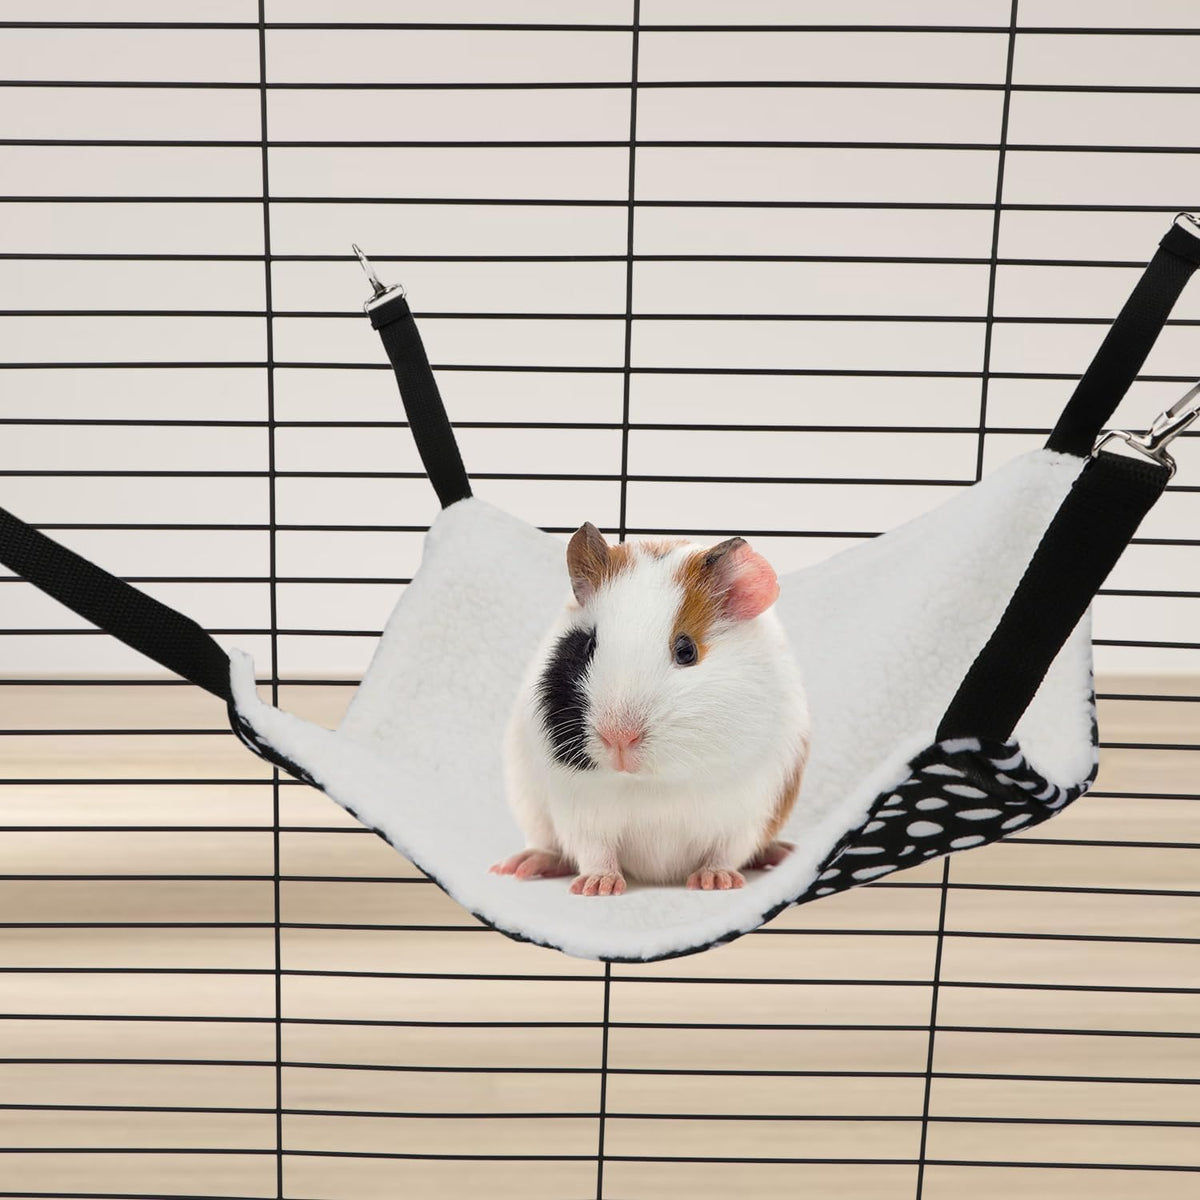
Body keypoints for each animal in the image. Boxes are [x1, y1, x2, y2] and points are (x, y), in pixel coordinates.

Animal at [491, 522, 811, 896]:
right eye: (588, 645)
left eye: (686, 650)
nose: (618, 739)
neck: (652, 782)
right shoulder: (581, 812)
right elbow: (596, 854)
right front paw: (597, 888)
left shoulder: (747, 812)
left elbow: (725, 852)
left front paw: (716, 883)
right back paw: (520, 866)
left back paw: (782, 854)